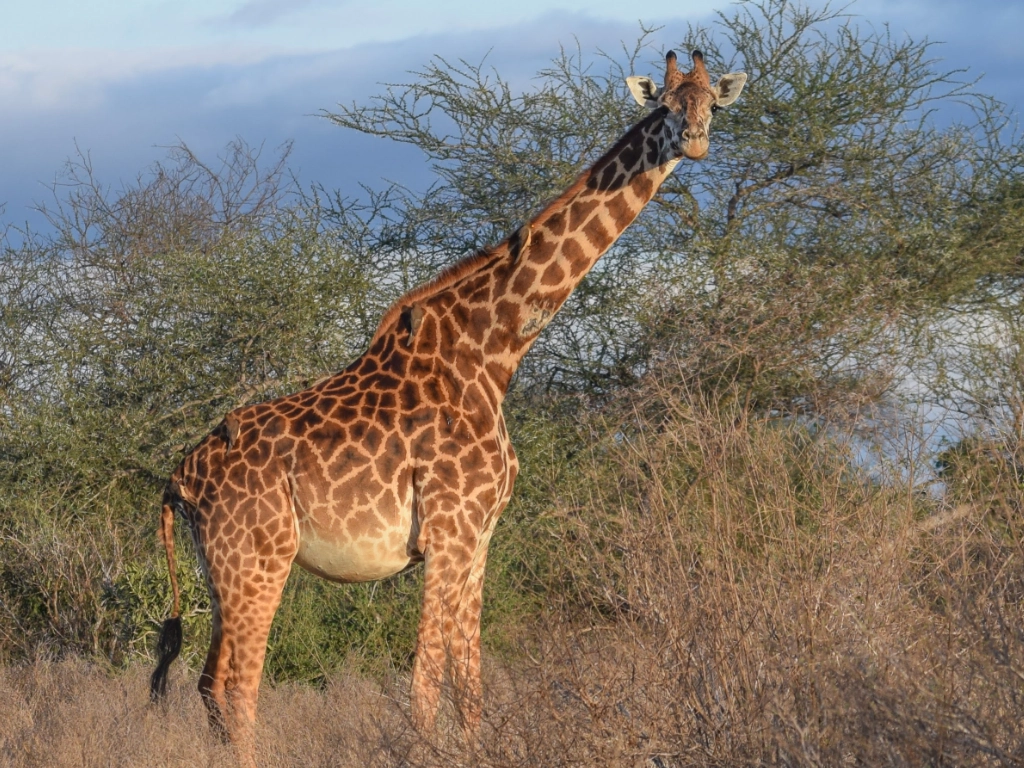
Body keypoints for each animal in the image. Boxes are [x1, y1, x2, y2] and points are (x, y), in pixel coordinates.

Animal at [150, 49, 745, 762]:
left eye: (712, 102)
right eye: (665, 106)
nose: (695, 140)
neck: (496, 352)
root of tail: (178, 479)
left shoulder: (480, 536)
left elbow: (471, 681)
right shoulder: (447, 531)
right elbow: (426, 680)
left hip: (221, 569)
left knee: (210, 686)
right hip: (258, 560)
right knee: (237, 688)